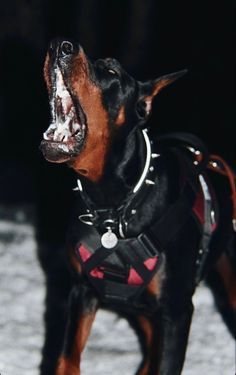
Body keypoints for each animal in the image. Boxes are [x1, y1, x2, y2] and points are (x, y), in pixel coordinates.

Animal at [39, 38, 235, 375]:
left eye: (112, 72)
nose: (61, 45)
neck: (114, 208)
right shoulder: (82, 290)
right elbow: (67, 358)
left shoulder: (176, 311)